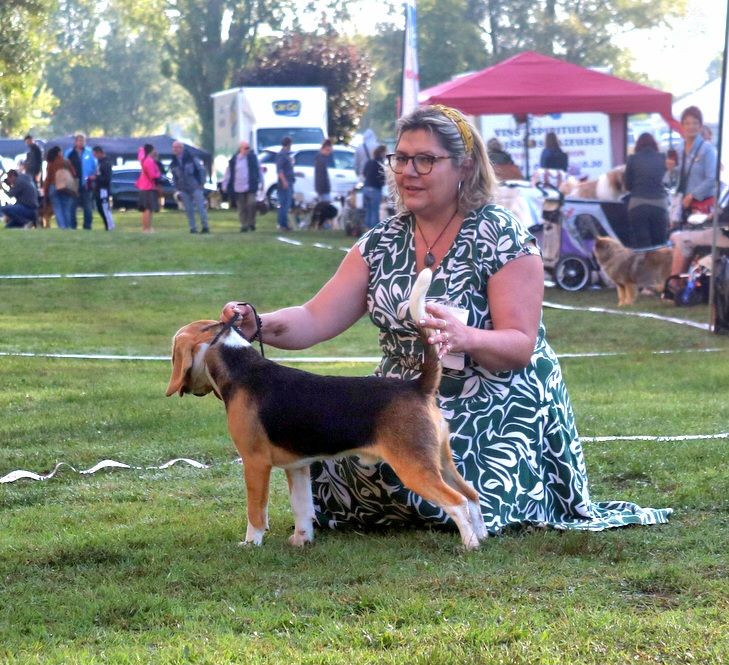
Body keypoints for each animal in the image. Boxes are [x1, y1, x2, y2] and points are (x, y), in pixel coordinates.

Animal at [164, 270, 484, 548]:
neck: (239, 366)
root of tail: (417, 387)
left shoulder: (255, 462)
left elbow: (256, 511)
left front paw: (250, 543)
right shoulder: (298, 466)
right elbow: (301, 507)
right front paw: (301, 540)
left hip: (414, 467)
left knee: (456, 502)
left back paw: (468, 544)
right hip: (439, 460)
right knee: (471, 495)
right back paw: (481, 537)